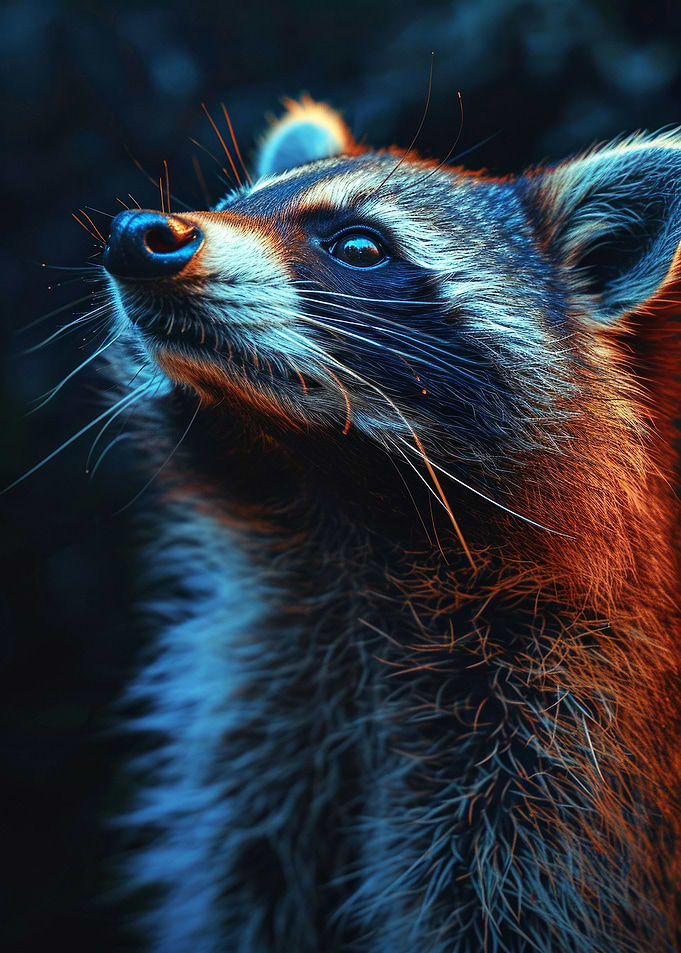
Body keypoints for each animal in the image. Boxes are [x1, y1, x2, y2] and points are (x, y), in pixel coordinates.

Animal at [100, 98, 681, 952]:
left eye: (358, 245)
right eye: (236, 202)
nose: (139, 233)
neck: (341, 514)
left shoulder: (564, 740)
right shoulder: (266, 724)